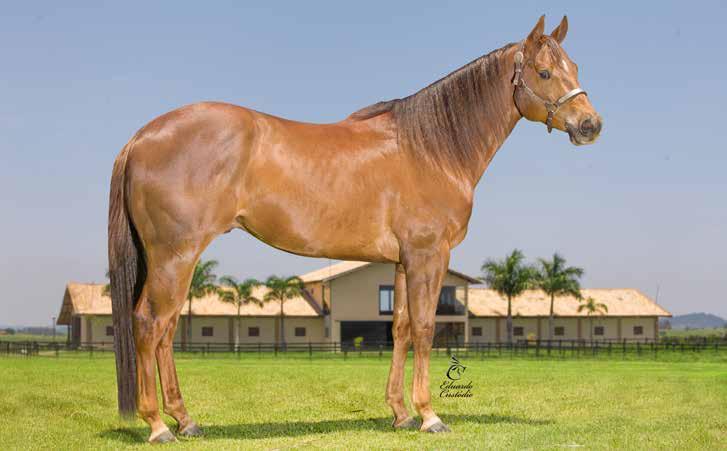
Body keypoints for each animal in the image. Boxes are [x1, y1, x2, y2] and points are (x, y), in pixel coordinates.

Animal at [108, 15, 604, 444]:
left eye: (574, 67)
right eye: (544, 72)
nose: (590, 125)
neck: (431, 148)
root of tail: (141, 137)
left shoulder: (402, 262)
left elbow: (400, 328)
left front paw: (400, 414)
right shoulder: (429, 255)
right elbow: (425, 327)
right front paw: (430, 416)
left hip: (175, 260)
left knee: (167, 329)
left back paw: (186, 420)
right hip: (175, 255)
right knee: (150, 323)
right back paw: (159, 425)